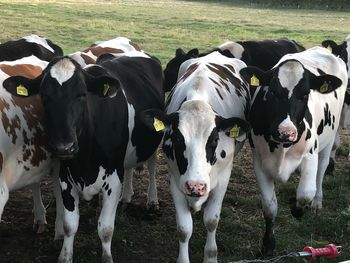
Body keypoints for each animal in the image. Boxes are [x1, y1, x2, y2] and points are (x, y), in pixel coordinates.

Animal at [3, 52, 164, 262]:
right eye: (44, 97)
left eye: (81, 95)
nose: (64, 147)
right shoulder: (66, 178)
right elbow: (70, 226)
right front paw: (65, 256)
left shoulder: (114, 178)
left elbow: (106, 228)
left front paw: (107, 257)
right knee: (129, 166)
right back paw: (126, 197)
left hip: (153, 140)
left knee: (152, 165)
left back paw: (152, 200)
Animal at [238, 46, 348, 256]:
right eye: (272, 92)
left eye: (305, 94)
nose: (286, 132)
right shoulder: (260, 161)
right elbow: (270, 206)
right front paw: (268, 244)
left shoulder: (310, 155)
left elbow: (305, 193)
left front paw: (296, 206)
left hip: (329, 138)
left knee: (321, 172)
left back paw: (317, 203)